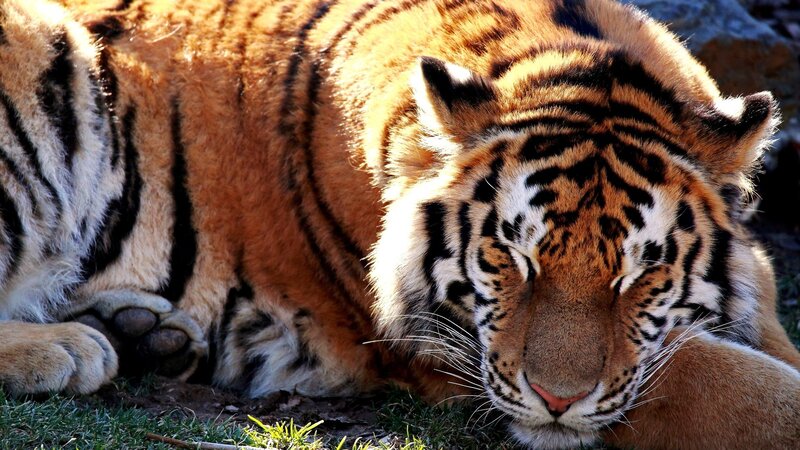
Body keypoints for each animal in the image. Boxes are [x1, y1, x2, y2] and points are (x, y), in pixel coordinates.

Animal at [0, 0, 798, 448]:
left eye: (642, 271)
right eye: (512, 255)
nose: (557, 402)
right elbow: (727, 384)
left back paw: (145, 335)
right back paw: (71, 347)